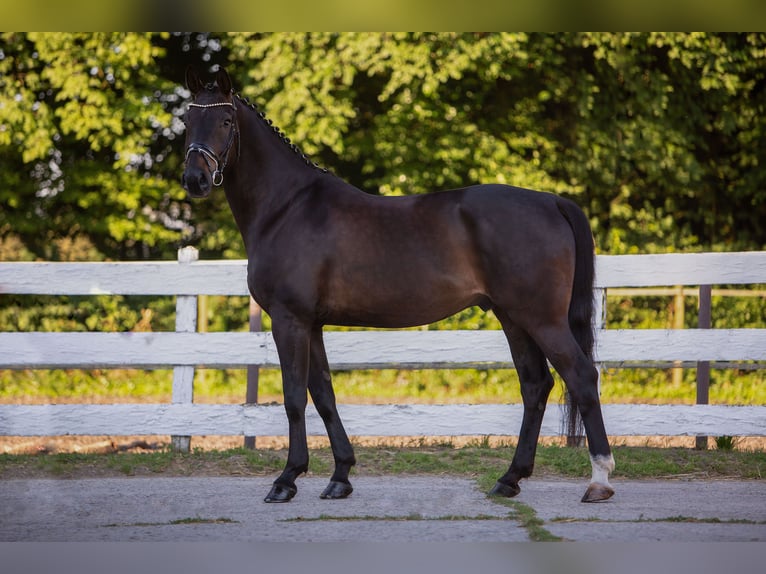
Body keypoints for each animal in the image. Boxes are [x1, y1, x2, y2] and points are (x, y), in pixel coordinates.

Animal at [182, 70, 616, 506]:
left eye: (225, 121)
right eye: (186, 120)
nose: (194, 179)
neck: (287, 207)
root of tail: (551, 201)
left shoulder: (290, 320)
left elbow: (294, 398)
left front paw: (287, 479)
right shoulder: (312, 324)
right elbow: (323, 395)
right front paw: (340, 476)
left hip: (542, 319)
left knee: (581, 376)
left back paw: (599, 480)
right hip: (513, 317)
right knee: (535, 385)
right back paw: (510, 478)